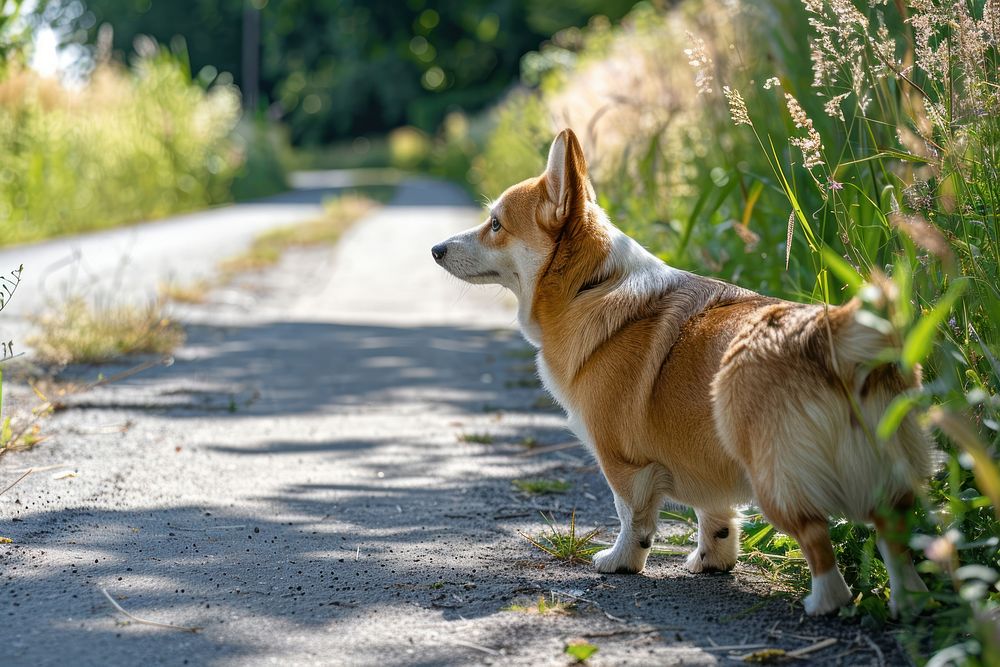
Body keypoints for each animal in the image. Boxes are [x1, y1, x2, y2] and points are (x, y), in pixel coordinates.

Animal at [434, 129, 932, 616]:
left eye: (496, 224)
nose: (435, 249)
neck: (588, 286)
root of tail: (829, 337)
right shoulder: (705, 460)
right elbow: (716, 516)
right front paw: (713, 560)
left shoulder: (622, 462)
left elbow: (631, 517)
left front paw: (621, 561)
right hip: (882, 479)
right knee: (894, 539)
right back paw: (909, 603)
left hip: (777, 479)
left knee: (818, 546)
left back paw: (822, 604)